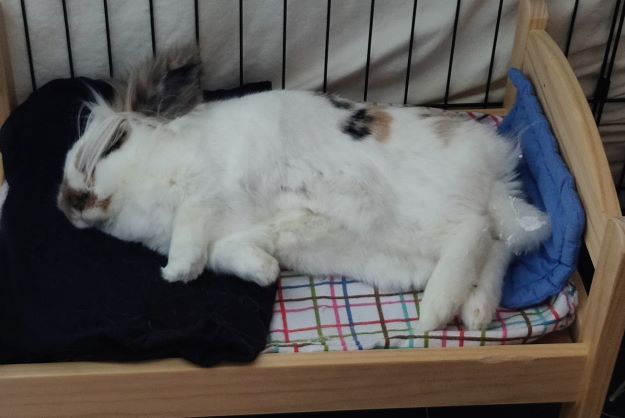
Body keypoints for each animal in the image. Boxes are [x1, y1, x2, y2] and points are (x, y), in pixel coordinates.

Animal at [56, 45, 548, 332]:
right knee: (497, 248)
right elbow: (225, 252)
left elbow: (191, 225)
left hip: (430, 208)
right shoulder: (240, 233)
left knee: (473, 231)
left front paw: (176, 271)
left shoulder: (205, 185)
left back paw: (437, 309)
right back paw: (475, 310)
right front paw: (265, 272)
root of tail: (495, 171)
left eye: (113, 145)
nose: (66, 203)